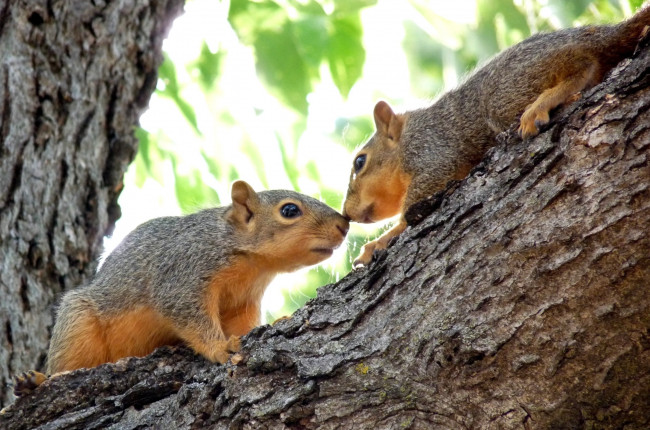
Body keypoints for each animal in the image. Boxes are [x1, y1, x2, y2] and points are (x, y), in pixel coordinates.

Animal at [12, 179, 346, 396]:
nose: (344, 225)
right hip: (77, 322)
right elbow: (187, 314)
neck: (251, 264)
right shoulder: (183, 273)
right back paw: (35, 380)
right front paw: (220, 348)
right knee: (65, 364)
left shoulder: (242, 303)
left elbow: (243, 326)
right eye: (289, 211)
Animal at [342, 5, 644, 266]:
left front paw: (379, 242)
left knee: (583, 64)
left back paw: (541, 106)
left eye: (360, 162)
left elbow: (412, 210)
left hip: (505, 92)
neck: (406, 138)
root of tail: (596, 33)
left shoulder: (432, 150)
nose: (346, 213)